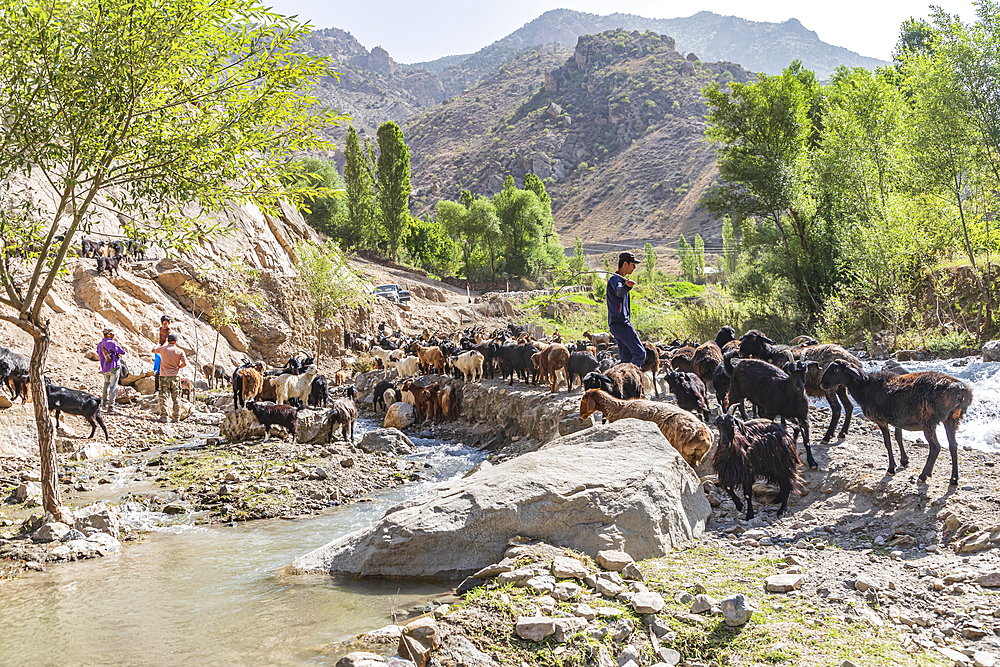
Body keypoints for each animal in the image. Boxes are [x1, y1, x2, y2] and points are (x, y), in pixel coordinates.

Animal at [584, 388, 716, 468]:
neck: (618, 408)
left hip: (683, 452)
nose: (582, 416)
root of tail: (705, 436)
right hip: (695, 458)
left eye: (583, 399)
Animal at [824, 360, 972, 486]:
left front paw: (891, 468)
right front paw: (904, 460)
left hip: (928, 421)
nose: (822, 384)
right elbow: (898, 438)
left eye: (836, 370)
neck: (864, 388)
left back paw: (923, 475)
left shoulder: (881, 420)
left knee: (936, 447)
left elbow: (887, 443)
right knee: (953, 445)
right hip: (951, 419)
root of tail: (961, 390)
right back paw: (954, 479)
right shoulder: (898, 420)